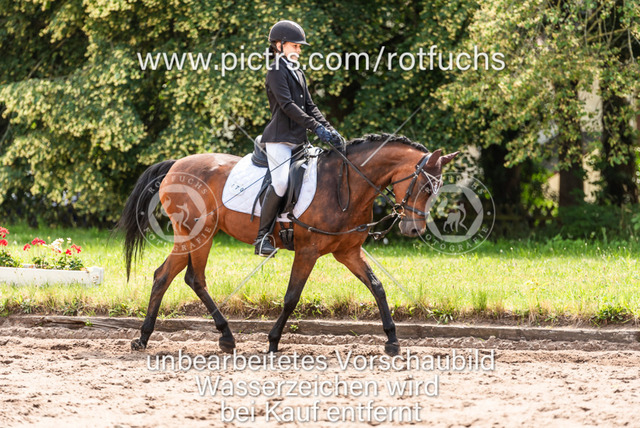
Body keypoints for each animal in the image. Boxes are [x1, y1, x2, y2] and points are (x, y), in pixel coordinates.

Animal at [117, 133, 459, 356]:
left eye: (437, 189)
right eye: (425, 187)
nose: (413, 229)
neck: (345, 184)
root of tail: (177, 164)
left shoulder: (347, 252)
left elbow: (377, 286)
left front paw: (392, 340)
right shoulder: (308, 252)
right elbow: (292, 297)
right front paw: (272, 341)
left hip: (196, 236)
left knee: (173, 276)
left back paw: (164, 338)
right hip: (196, 235)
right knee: (185, 277)